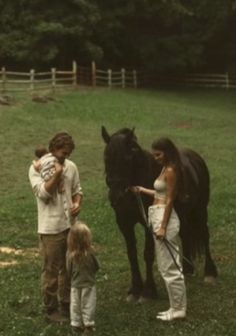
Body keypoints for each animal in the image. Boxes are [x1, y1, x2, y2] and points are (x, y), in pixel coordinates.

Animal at [101, 126, 218, 302]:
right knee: (185, 234)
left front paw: (148, 291)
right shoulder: (124, 223)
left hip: (200, 209)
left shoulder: (150, 223)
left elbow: (148, 254)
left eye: (128, 158)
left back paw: (210, 273)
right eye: (106, 158)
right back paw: (187, 269)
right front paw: (135, 289)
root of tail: (195, 157)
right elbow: (131, 254)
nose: (116, 196)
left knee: (205, 234)